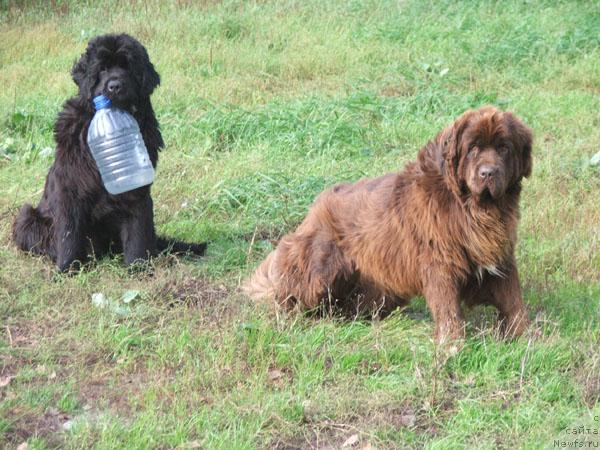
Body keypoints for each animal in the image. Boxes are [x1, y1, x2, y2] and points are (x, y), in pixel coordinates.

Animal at [11, 33, 206, 272]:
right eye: (102, 69)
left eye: (128, 67)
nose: (114, 86)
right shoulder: (70, 186)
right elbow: (69, 232)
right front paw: (68, 268)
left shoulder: (138, 191)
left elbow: (137, 231)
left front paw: (138, 268)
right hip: (27, 218)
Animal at [245, 105, 536, 342]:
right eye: (473, 148)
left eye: (504, 148)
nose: (488, 173)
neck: (473, 207)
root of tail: (315, 207)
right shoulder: (440, 262)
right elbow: (448, 306)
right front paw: (452, 343)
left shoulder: (500, 254)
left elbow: (513, 299)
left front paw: (526, 336)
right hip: (319, 269)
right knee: (289, 293)